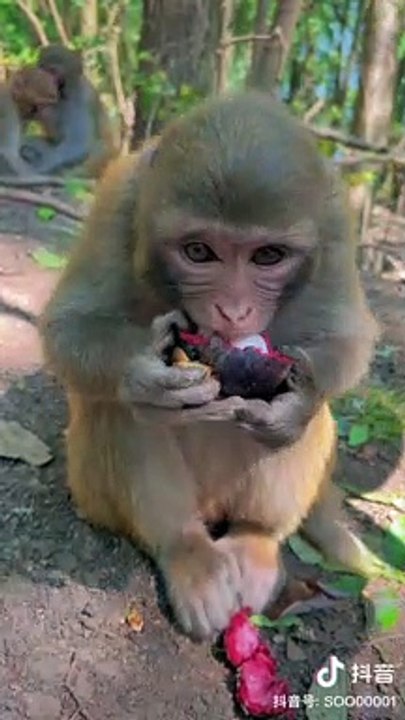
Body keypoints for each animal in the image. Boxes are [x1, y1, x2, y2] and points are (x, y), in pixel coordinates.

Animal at [19, 44, 119, 178]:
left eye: (53, 71)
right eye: (42, 70)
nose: (45, 82)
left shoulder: (82, 99)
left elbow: (79, 144)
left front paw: (43, 165)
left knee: (100, 147)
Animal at [41, 91, 379, 640]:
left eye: (268, 256)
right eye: (199, 251)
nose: (234, 311)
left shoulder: (336, 226)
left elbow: (347, 336)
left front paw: (296, 403)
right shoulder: (118, 198)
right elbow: (69, 327)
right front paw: (147, 380)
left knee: (298, 433)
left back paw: (256, 540)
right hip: (92, 494)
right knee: (118, 410)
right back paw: (187, 552)